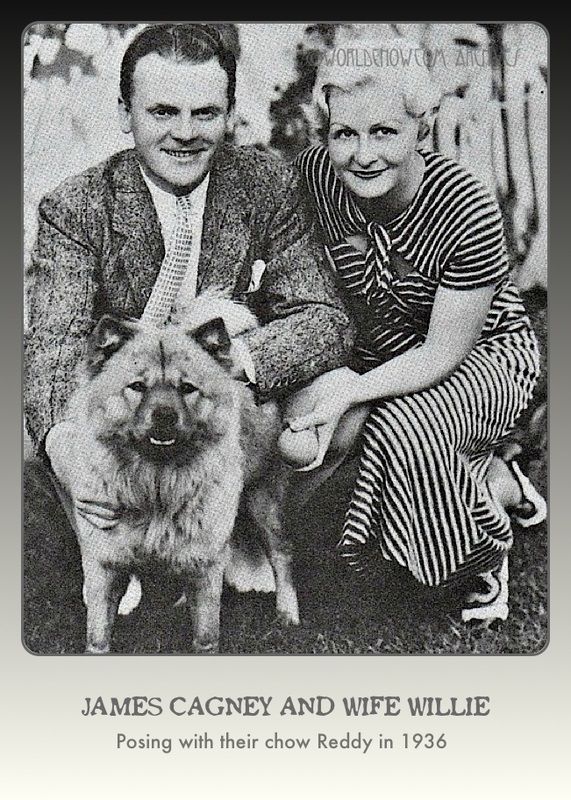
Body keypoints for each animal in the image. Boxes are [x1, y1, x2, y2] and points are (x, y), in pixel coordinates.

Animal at [50, 296, 300, 652]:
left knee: (281, 554)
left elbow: (206, 636)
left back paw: (288, 614)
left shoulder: (207, 567)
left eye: (187, 388)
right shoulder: (104, 567)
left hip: (263, 501)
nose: (165, 415)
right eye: (137, 387)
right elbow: (98, 636)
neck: (156, 484)